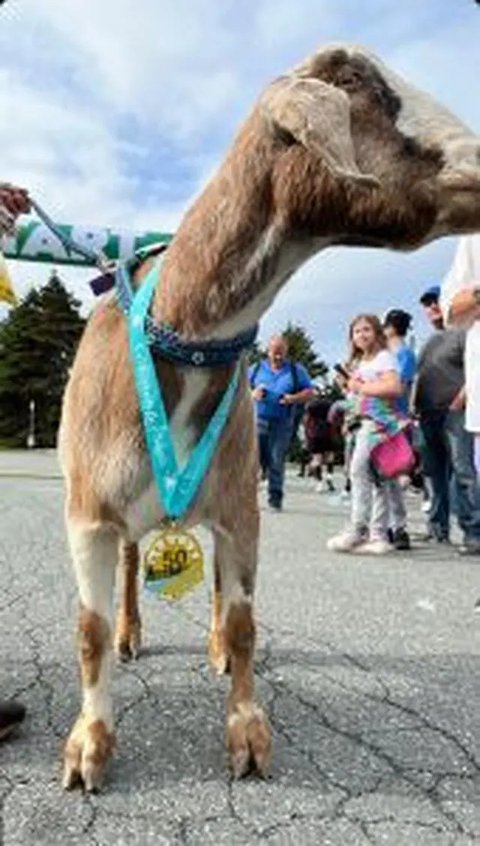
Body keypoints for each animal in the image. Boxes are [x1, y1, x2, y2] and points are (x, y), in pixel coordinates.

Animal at [59, 43, 480, 792]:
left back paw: (214, 648)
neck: (185, 332)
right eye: (360, 83)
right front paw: (89, 745)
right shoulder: (88, 513)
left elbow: (245, 622)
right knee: (134, 567)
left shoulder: (239, 507)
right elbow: (91, 630)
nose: (479, 161)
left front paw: (247, 734)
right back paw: (135, 633)